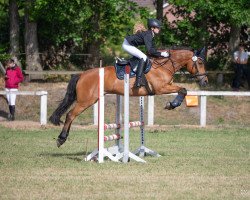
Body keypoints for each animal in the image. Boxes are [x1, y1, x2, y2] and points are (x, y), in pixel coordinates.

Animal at [49, 47, 208, 147]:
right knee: (70, 115)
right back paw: (61, 139)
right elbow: (183, 90)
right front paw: (171, 105)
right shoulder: (161, 88)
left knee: (70, 115)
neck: (164, 65)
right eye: (200, 62)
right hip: (86, 101)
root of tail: (82, 74)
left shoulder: (167, 85)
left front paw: (172, 104)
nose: (205, 81)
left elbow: (183, 90)